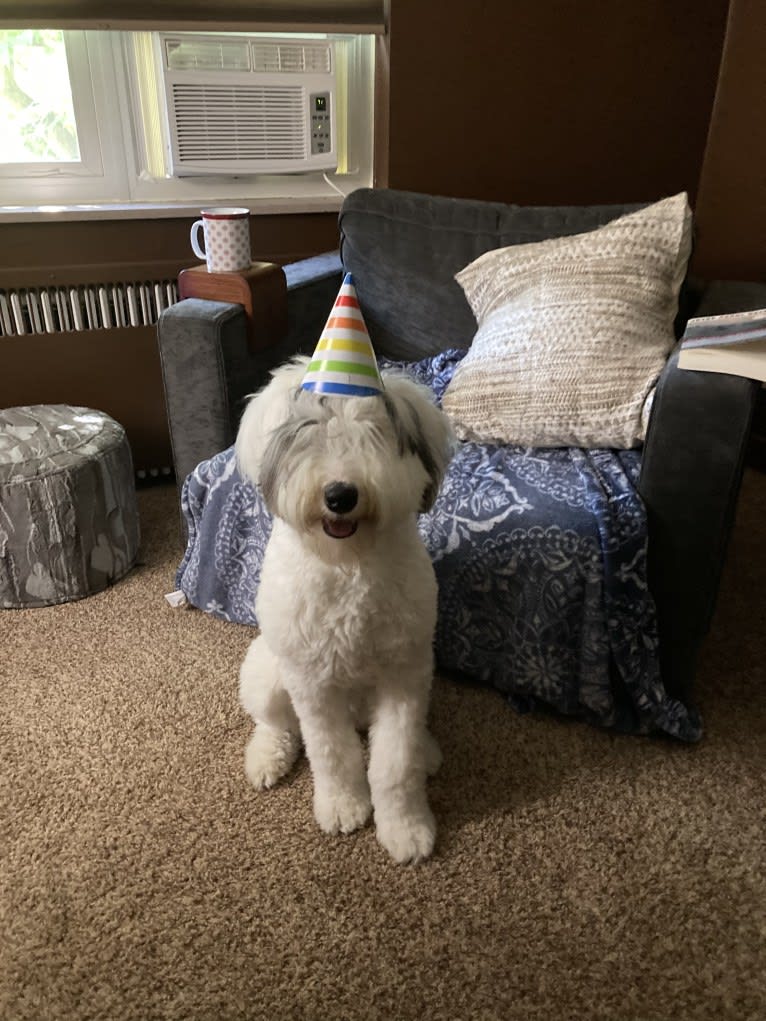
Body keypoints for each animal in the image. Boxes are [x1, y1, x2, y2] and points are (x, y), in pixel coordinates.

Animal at [236, 357, 455, 861]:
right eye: (308, 430)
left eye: (373, 432)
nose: (340, 495)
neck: (348, 564)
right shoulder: (312, 684)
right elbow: (331, 753)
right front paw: (342, 807)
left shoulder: (403, 676)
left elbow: (395, 763)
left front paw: (406, 828)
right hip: (267, 674)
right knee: (275, 724)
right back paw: (266, 758)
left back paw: (428, 751)